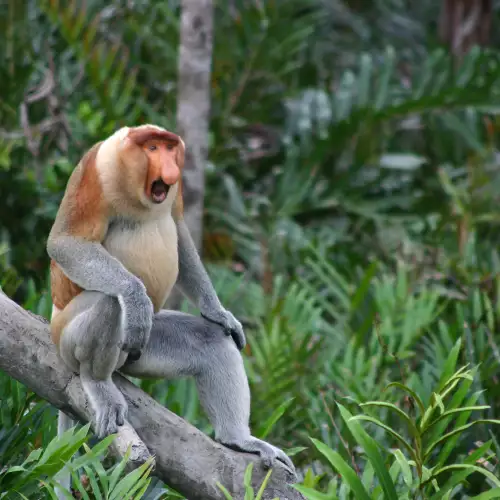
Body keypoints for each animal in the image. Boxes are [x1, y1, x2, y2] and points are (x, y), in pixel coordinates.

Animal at [47, 124, 292, 492]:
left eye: (168, 147)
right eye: (151, 148)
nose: (170, 168)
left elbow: (178, 228)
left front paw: (220, 313)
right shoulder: (95, 170)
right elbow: (64, 242)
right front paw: (135, 296)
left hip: (143, 350)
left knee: (211, 341)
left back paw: (237, 439)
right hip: (66, 334)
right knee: (109, 302)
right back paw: (98, 381)